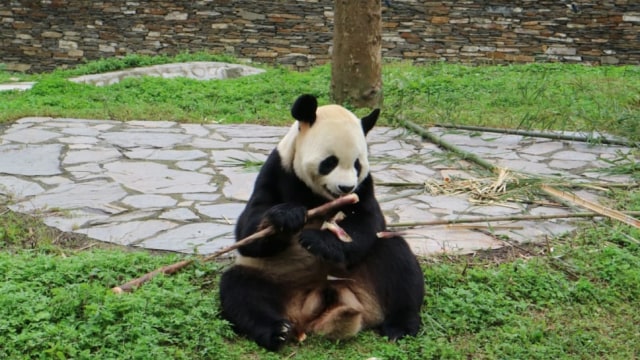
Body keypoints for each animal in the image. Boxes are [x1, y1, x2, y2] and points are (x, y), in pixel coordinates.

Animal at [220, 94, 424, 350]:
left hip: (361, 276)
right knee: (240, 290)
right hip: (275, 278)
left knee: (397, 261)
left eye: (357, 164)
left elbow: (368, 221)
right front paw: (287, 216)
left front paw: (317, 241)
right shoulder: (278, 170)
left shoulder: (364, 185)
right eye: (330, 162)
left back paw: (400, 326)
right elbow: (248, 231)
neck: (319, 197)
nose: (346, 188)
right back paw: (277, 331)